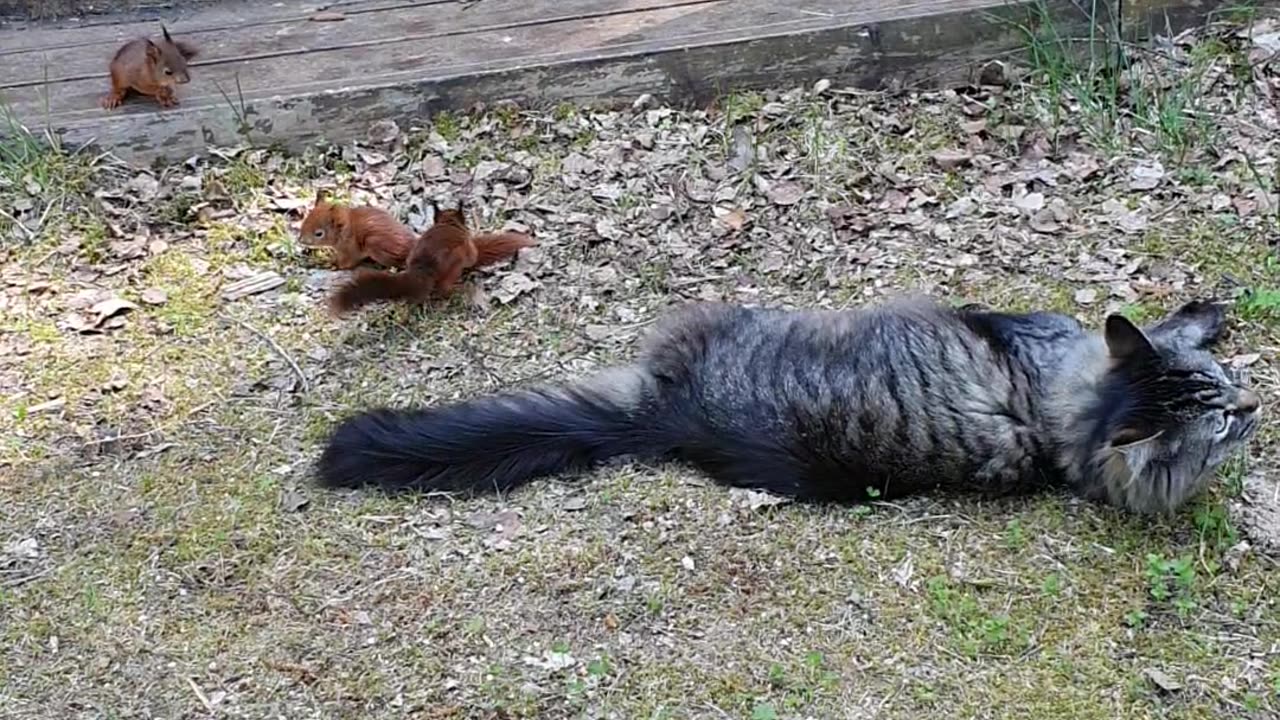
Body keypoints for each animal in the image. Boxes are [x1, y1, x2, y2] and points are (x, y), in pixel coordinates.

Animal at [332, 199, 537, 315]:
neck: (448, 223)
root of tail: (421, 271)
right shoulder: (468, 247)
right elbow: (473, 256)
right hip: (453, 265)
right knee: (444, 288)